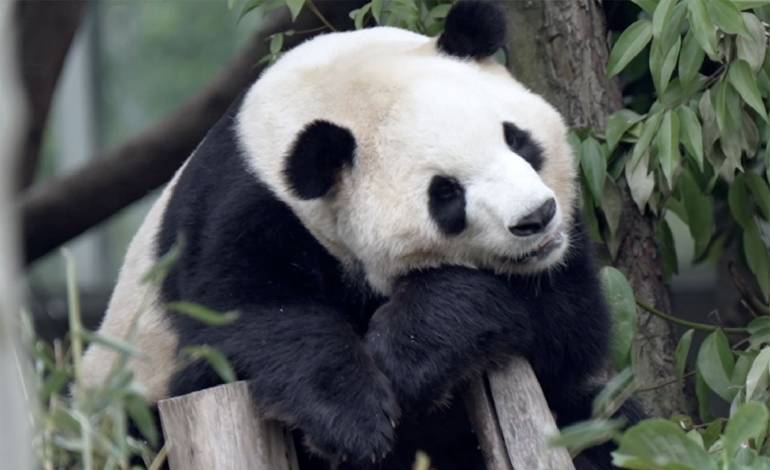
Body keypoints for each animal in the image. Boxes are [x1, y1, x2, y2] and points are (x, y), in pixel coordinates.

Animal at [82, 2, 640, 469]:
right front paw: (355, 421)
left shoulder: (562, 256)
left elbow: (566, 324)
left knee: (602, 425)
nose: (536, 217)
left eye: (516, 139)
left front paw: (409, 357)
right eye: (446, 195)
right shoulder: (242, 210)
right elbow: (248, 322)